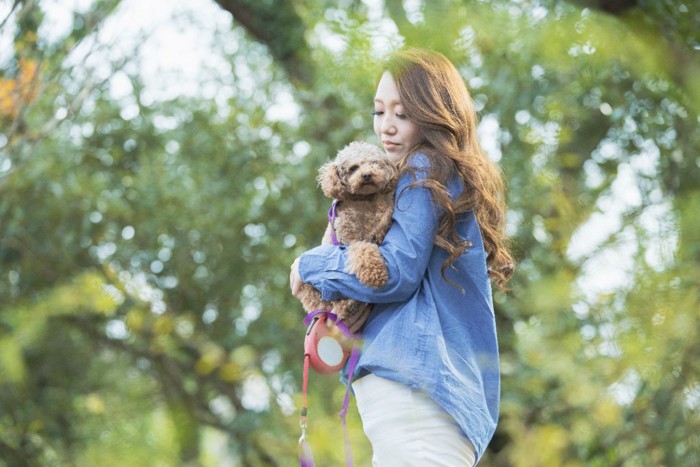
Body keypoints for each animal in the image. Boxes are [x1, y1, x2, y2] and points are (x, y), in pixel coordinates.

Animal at [296, 141, 400, 330]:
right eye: (353, 168)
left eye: (374, 163)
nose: (367, 175)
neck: (363, 202)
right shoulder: (349, 239)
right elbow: (362, 249)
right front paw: (375, 274)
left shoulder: (378, 227)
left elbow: (383, 220)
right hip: (308, 288)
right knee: (324, 302)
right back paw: (345, 306)